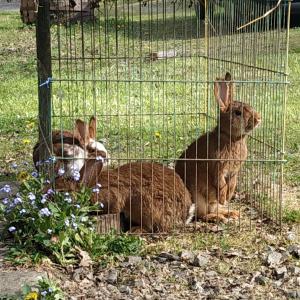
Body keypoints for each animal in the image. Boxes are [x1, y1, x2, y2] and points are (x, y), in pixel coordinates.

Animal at [175, 72, 262, 223]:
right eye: (238, 113)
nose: (258, 119)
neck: (231, 138)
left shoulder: (234, 172)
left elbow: (232, 184)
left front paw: (228, 197)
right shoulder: (218, 168)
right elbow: (221, 184)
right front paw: (223, 198)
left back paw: (231, 213)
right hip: (198, 198)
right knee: (202, 215)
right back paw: (219, 217)